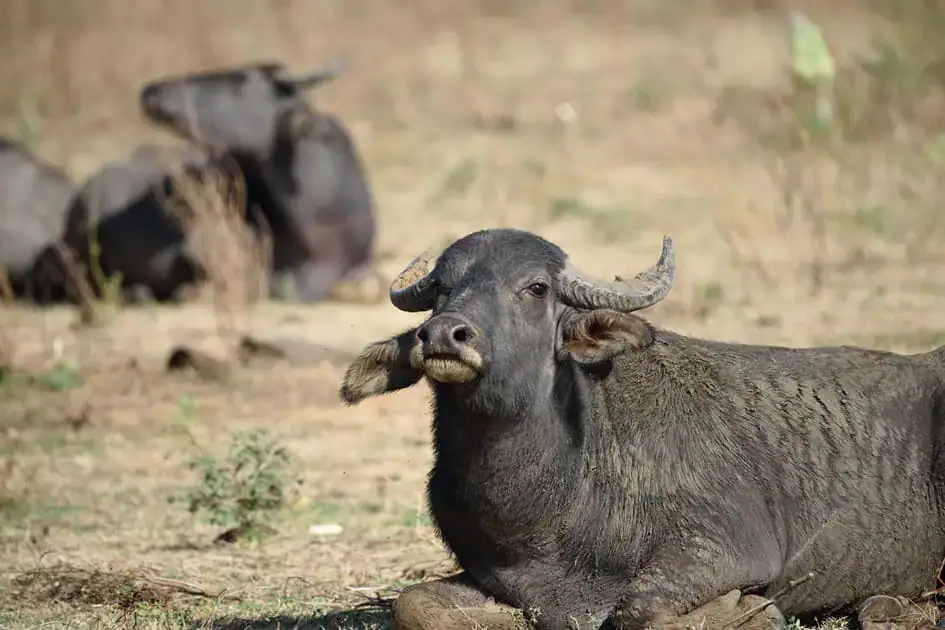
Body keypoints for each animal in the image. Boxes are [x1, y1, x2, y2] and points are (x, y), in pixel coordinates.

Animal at [340, 228, 945, 629]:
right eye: (442, 287)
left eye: (536, 288)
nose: (444, 334)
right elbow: (412, 604)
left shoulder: (725, 547)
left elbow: (639, 611)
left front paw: (747, 608)